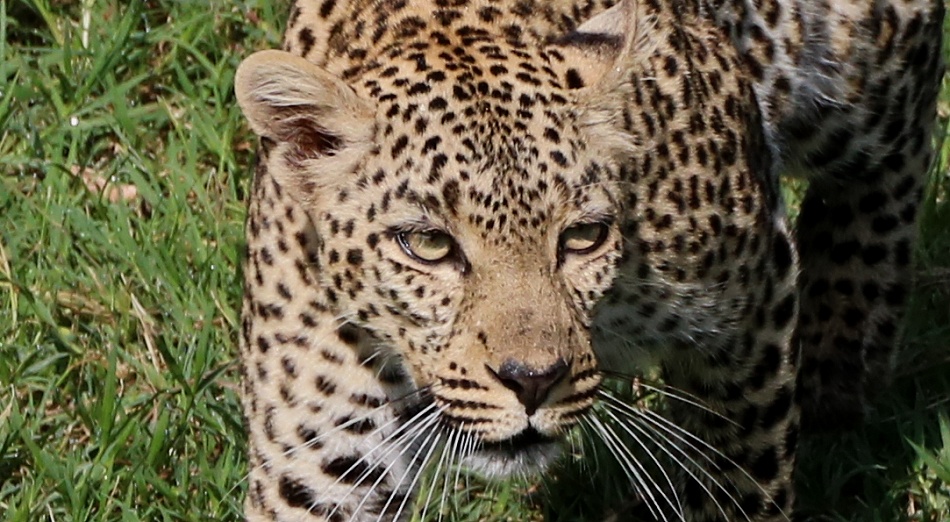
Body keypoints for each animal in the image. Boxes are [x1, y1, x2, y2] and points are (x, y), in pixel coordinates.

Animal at [233, 0, 945, 520]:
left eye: (582, 238)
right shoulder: (324, 445)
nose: (531, 381)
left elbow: (738, 483)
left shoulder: (752, 313)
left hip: (856, 63)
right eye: (429, 244)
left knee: (898, 146)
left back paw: (845, 354)